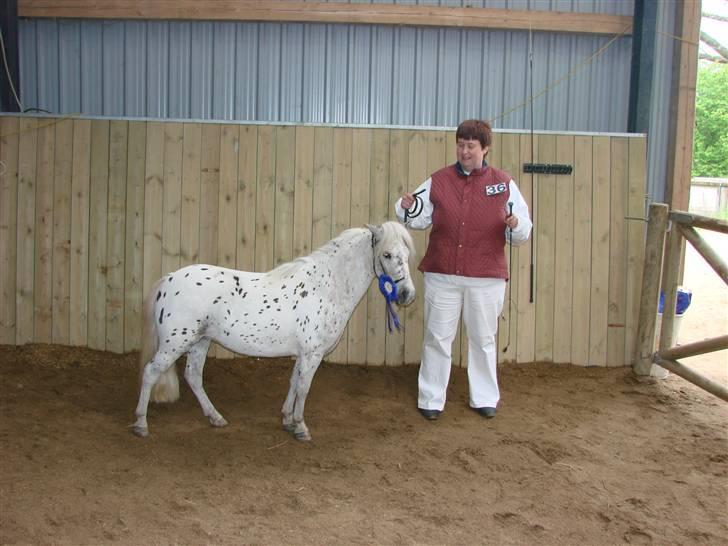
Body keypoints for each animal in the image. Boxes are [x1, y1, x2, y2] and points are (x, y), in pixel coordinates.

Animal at [132, 220, 416, 438]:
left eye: (406, 255)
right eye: (387, 255)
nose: (406, 294)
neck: (326, 287)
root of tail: (169, 279)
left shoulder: (302, 354)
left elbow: (293, 382)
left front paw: (288, 420)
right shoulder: (312, 354)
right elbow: (304, 387)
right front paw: (301, 427)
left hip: (200, 341)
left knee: (193, 376)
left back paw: (215, 417)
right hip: (175, 343)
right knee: (150, 372)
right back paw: (141, 424)